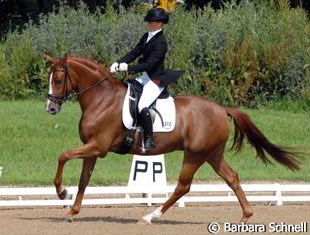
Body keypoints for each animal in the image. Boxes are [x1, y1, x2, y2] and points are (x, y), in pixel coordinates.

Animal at [44, 53, 300, 224]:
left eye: (58, 79)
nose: (51, 109)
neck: (101, 99)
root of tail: (221, 109)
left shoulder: (98, 147)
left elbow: (63, 156)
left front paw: (61, 192)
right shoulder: (92, 148)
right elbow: (83, 180)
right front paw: (72, 211)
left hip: (195, 155)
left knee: (183, 186)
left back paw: (150, 216)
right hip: (212, 154)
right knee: (232, 178)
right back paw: (246, 216)